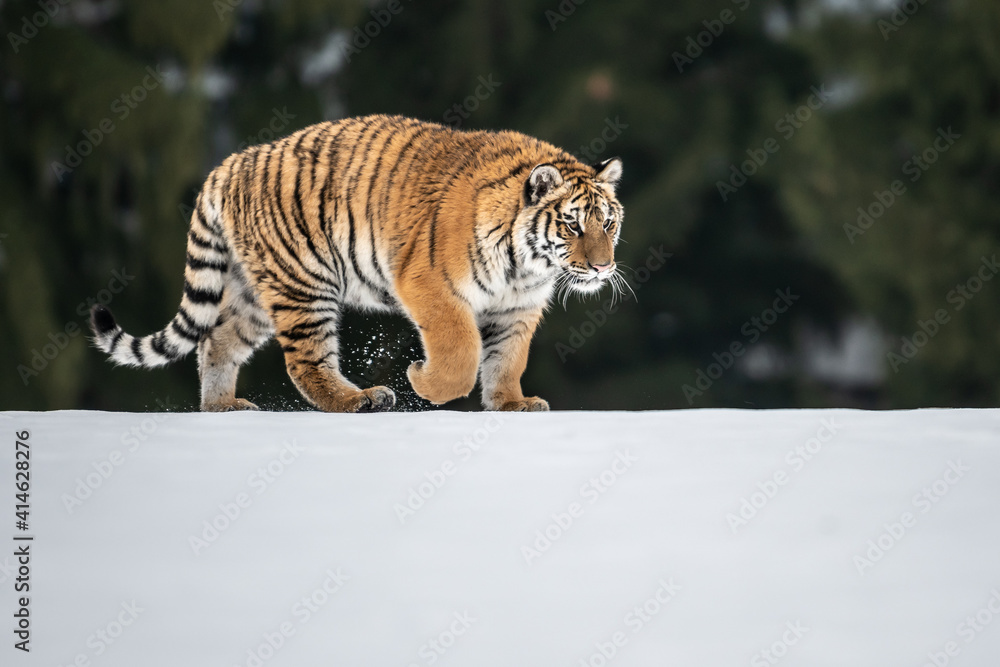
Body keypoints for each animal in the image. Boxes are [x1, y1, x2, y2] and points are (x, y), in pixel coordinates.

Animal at [89, 114, 625, 413]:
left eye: (608, 223)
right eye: (573, 225)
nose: (603, 268)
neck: (525, 265)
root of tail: (233, 162)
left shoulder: (518, 308)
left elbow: (507, 359)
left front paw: (513, 405)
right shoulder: (430, 284)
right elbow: (461, 350)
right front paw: (423, 381)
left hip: (253, 293)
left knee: (216, 343)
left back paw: (223, 408)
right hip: (305, 283)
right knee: (305, 361)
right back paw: (359, 400)